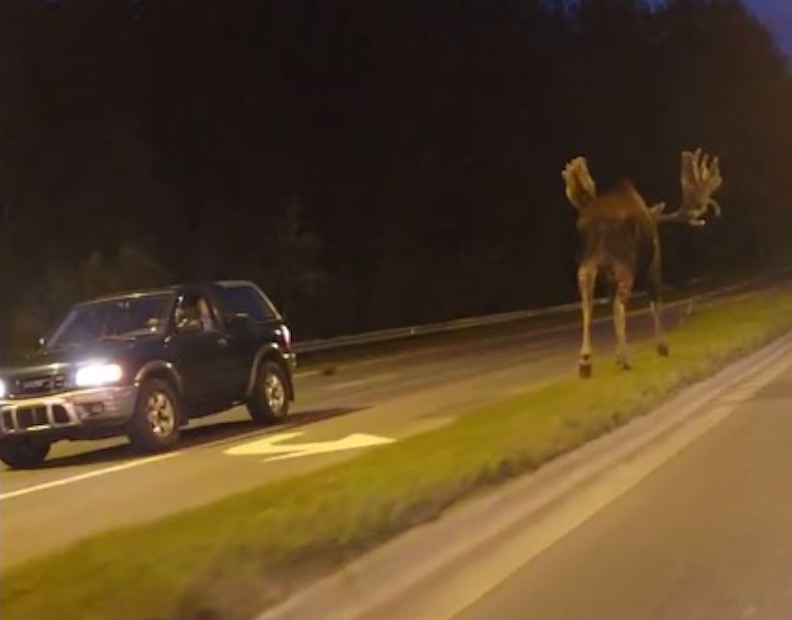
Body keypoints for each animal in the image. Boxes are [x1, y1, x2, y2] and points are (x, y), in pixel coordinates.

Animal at [562, 149, 723, 378]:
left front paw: (616, 356)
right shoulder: (655, 266)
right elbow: (655, 303)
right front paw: (662, 346)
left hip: (588, 263)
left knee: (588, 301)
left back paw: (585, 361)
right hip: (623, 263)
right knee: (619, 306)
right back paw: (625, 359)